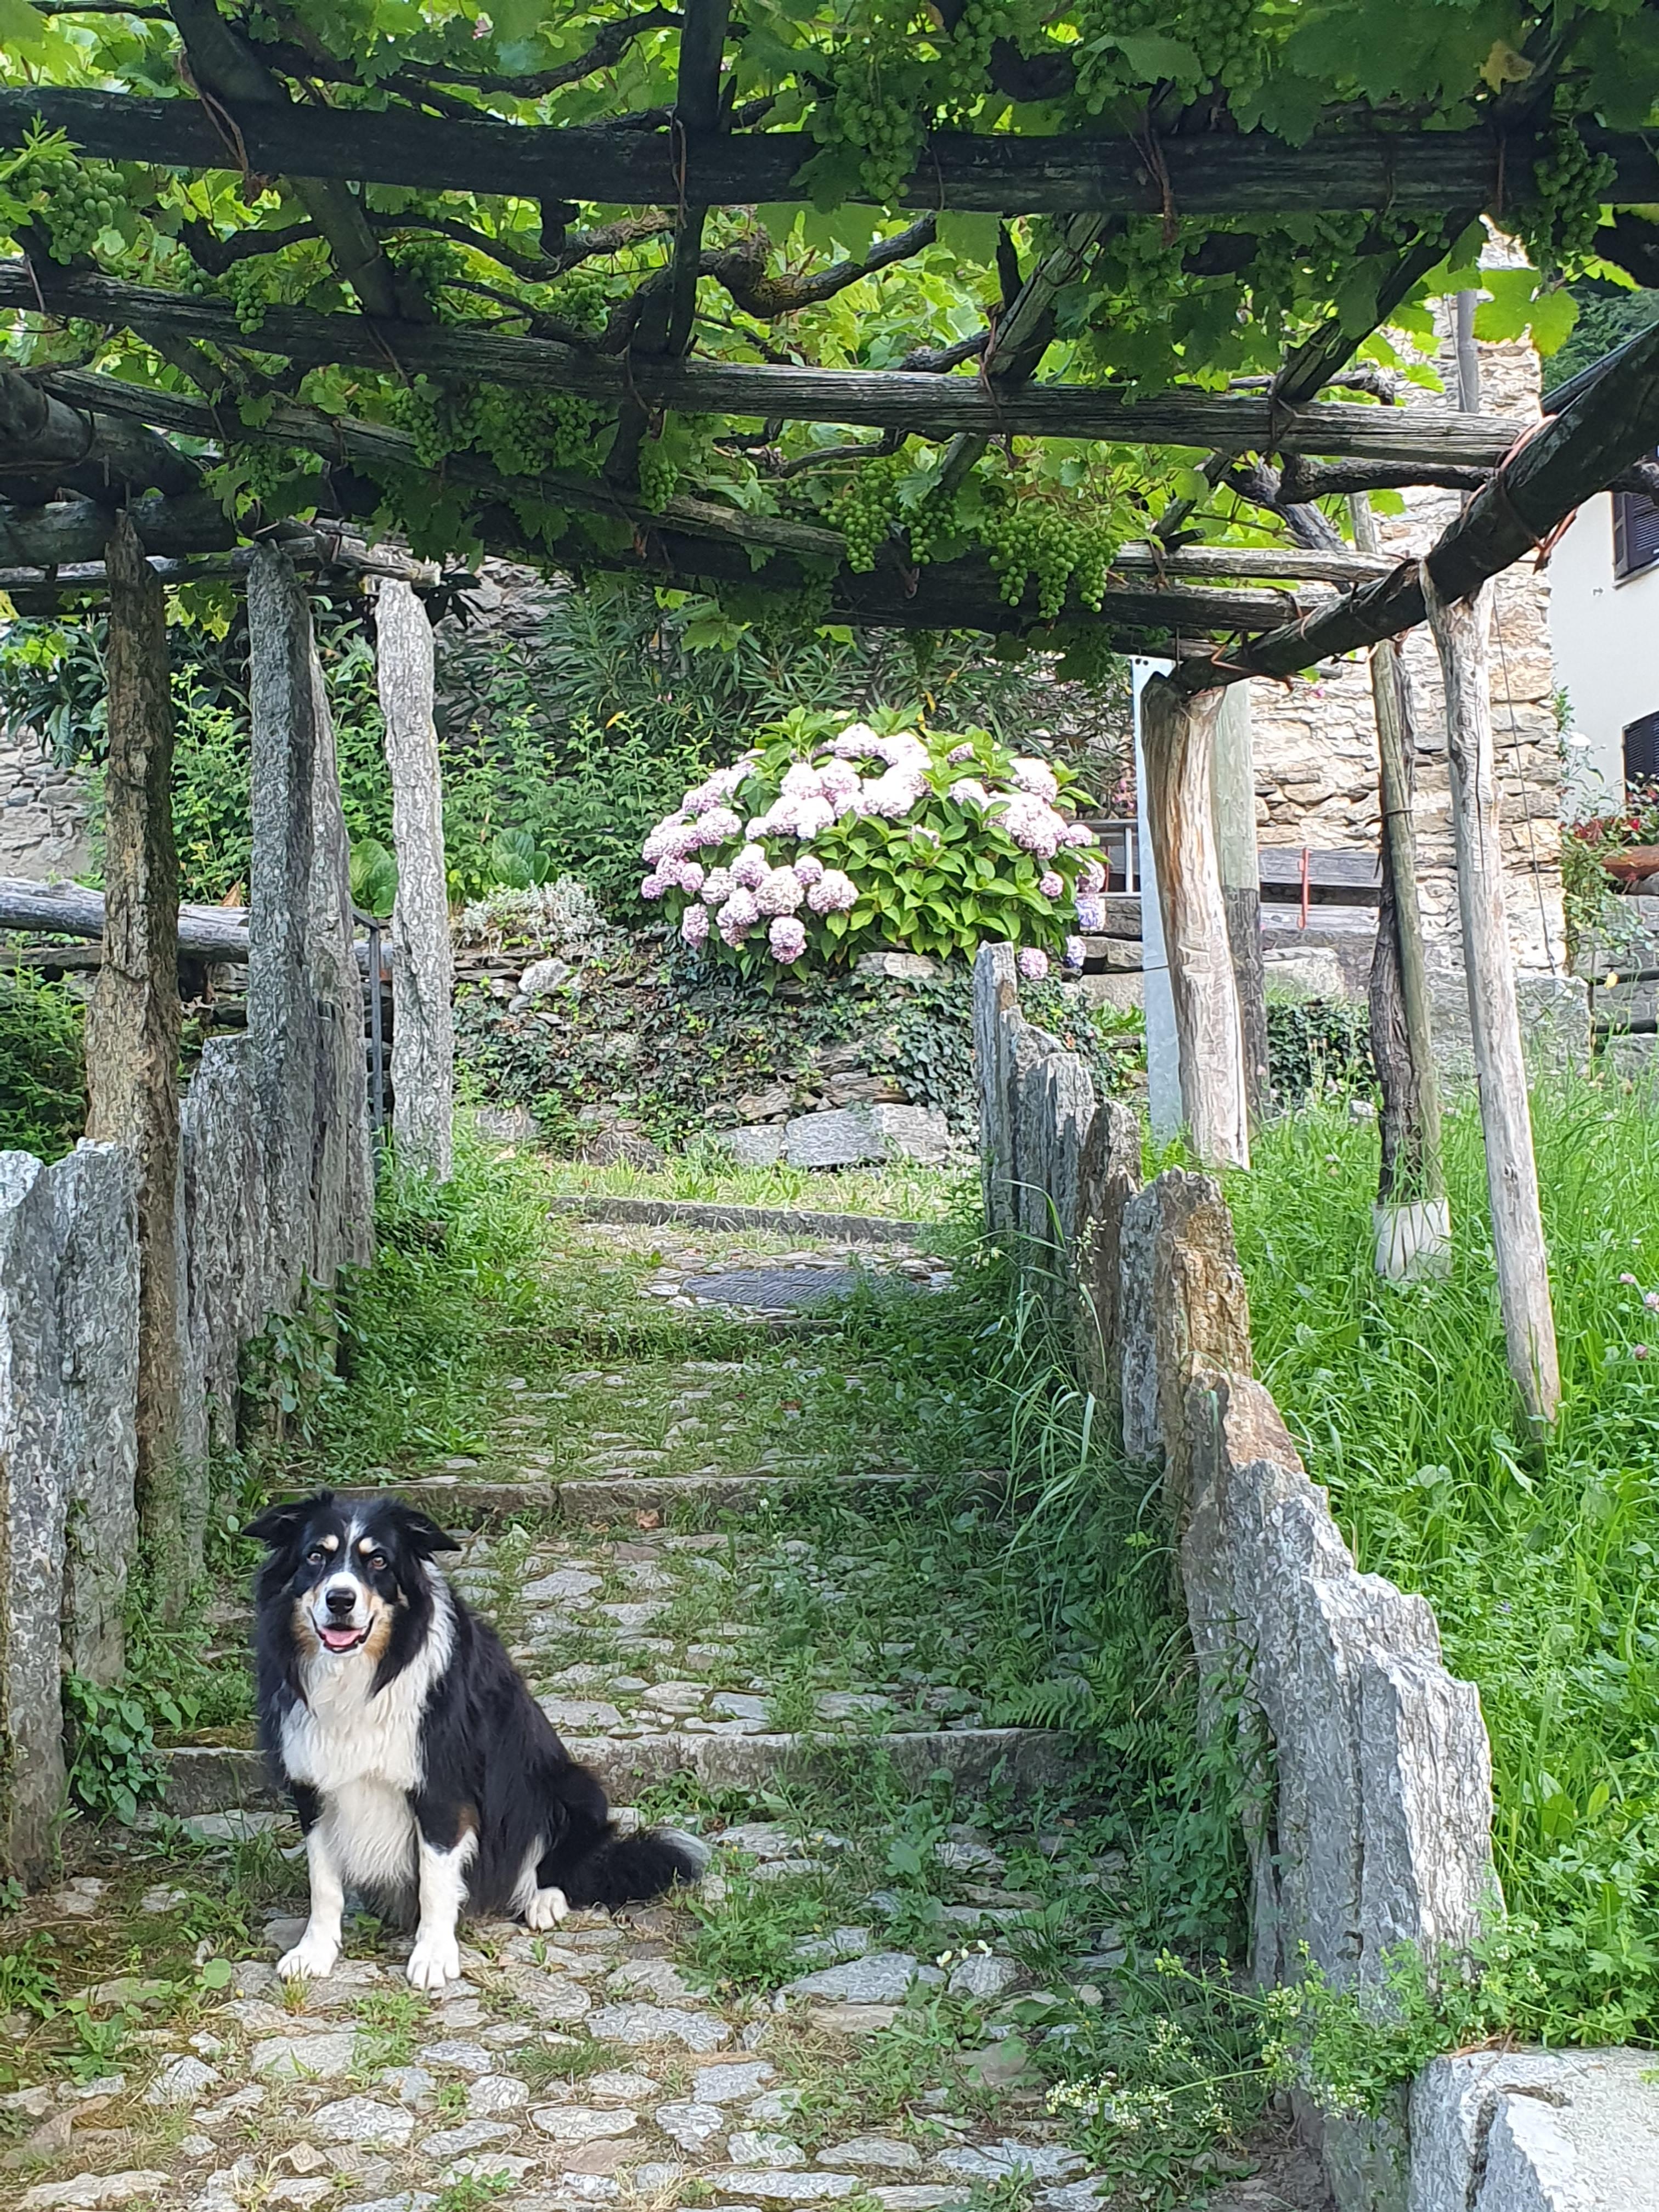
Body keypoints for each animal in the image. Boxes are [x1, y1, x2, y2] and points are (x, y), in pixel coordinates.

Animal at [247, 1489, 703, 1990]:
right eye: (315, 1556)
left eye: (379, 1561)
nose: (340, 1600)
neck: (362, 1675)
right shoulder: (313, 1784)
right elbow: (323, 1881)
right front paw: (314, 1952)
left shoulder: (442, 1789)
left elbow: (435, 1879)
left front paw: (432, 1956)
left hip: (571, 1784)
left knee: (560, 1863)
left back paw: (543, 1901)